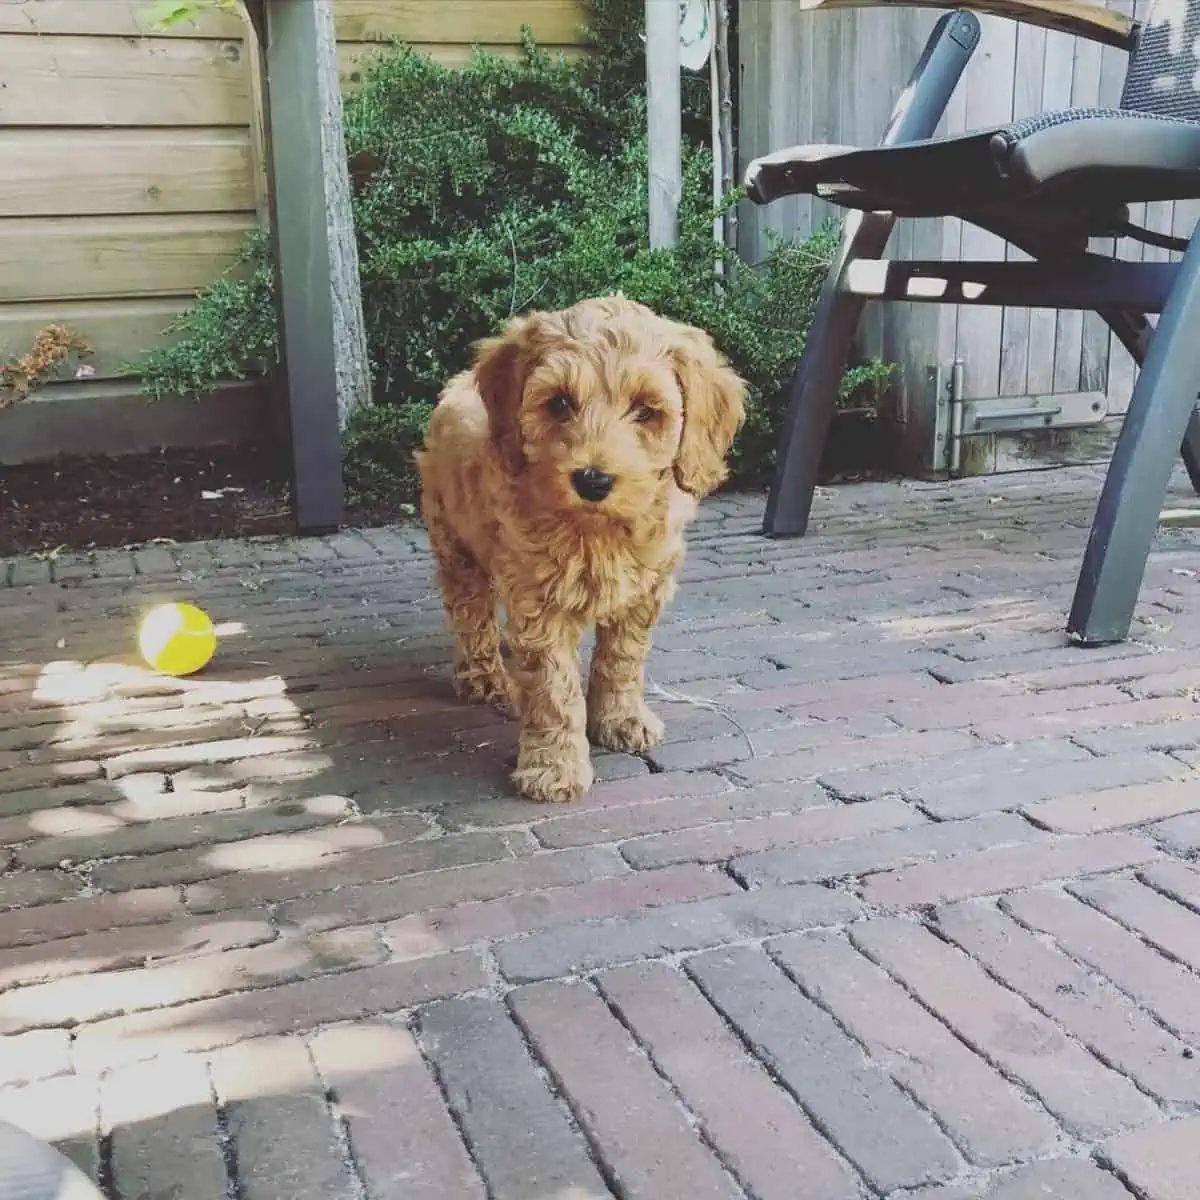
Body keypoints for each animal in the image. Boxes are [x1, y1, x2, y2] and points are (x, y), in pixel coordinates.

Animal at [417, 295, 744, 806]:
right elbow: (554, 691)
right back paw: (483, 674)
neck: (597, 532)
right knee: (471, 612)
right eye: (559, 403)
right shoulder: (540, 603)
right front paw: (554, 768)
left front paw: (621, 719)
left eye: (646, 411)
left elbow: (622, 660)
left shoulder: (644, 593)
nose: (593, 480)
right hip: (454, 542)